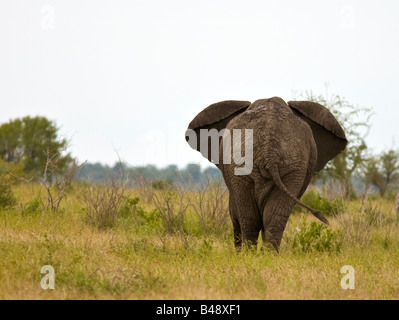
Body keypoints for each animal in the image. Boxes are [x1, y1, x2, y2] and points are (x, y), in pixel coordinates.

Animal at [186, 96, 348, 251]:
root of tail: (269, 150)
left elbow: (234, 212)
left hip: (284, 166)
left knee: (252, 218)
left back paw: (251, 256)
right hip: (288, 167)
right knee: (269, 218)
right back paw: (265, 256)